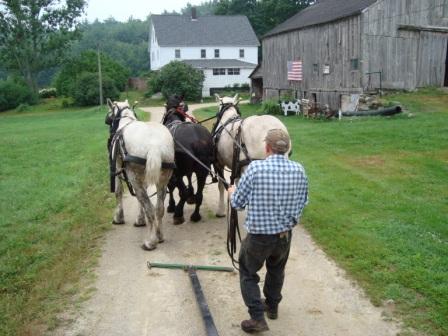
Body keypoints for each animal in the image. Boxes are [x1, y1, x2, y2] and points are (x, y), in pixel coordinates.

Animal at [105, 98, 175, 251]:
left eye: (111, 112)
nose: (106, 120)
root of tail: (154, 145)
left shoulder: (118, 166)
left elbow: (119, 191)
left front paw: (119, 218)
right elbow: (141, 198)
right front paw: (140, 219)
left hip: (133, 176)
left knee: (149, 207)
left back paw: (150, 242)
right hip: (163, 179)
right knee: (159, 208)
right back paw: (159, 235)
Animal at [162, 94, 214, 224]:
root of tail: (197, 140)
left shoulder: (172, 171)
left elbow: (173, 186)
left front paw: (171, 205)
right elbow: (189, 179)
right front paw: (191, 195)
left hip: (179, 171)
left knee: (181, 190)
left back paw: (178, 213)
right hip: (202, 171)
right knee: (200, 195)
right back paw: (195, 215)